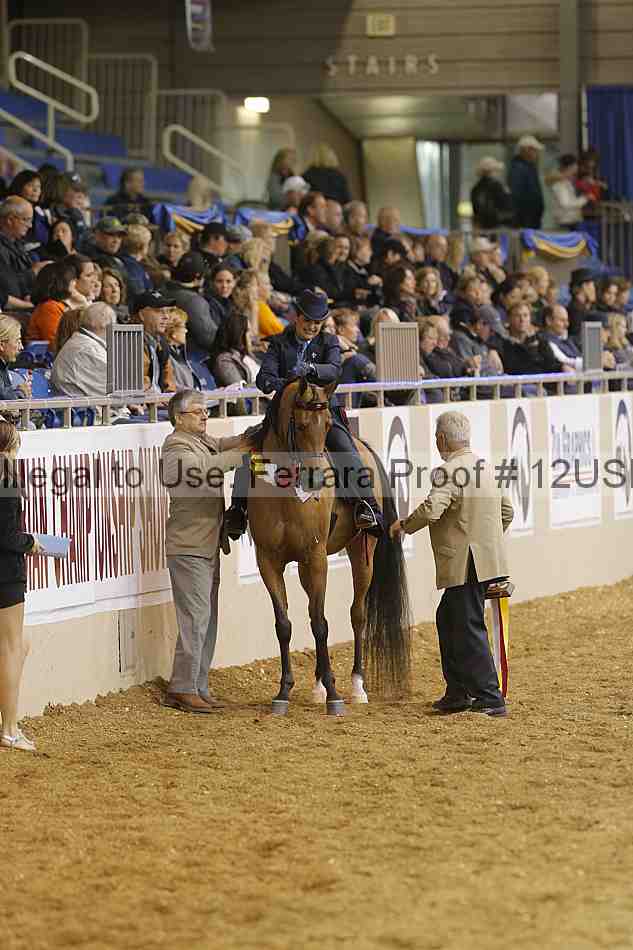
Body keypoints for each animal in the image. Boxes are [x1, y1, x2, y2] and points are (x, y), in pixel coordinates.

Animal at [247, 377, 411, 715]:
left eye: (325, 426)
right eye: (299, 424)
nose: (314, 481)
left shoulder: (316, 558)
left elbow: (320, 624)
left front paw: (335, 695)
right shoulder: (268, 561)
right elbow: (284, 624)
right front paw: (284, 692)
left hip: (362, 551)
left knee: (357, 615)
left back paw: (357, 686)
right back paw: (318, 685)